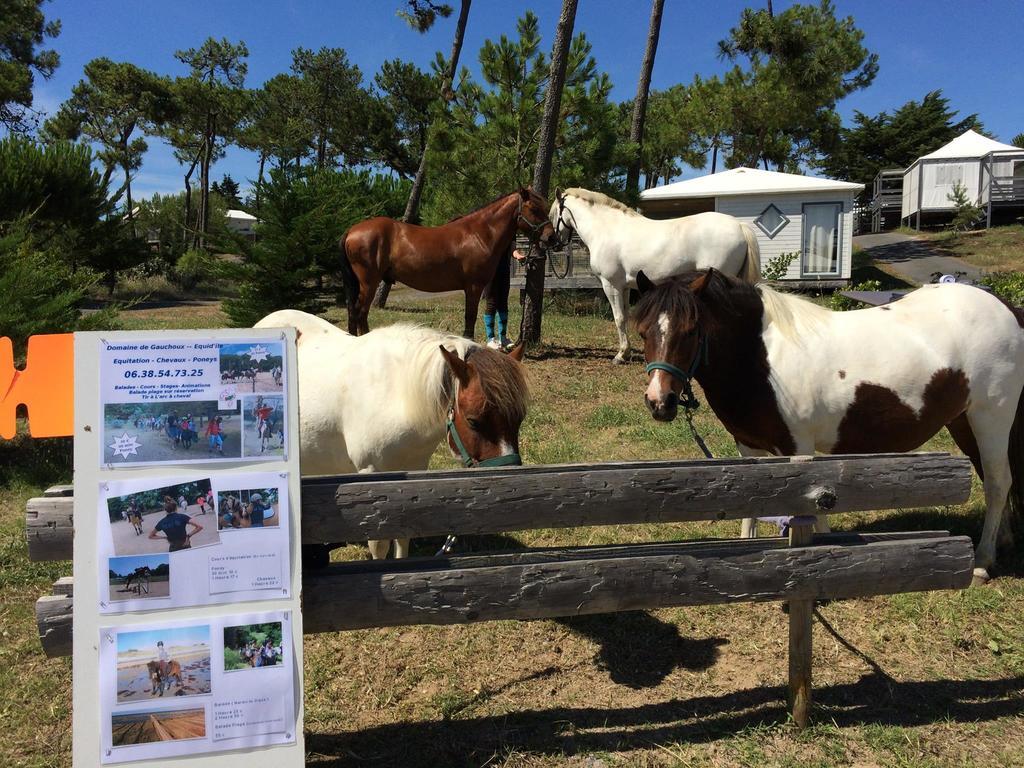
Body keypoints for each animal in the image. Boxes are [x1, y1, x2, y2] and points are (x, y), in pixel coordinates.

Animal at [253, 313, 528, 561]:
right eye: (473, 420)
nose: (509, 484)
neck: (398, 396)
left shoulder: (413, 471)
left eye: (520, 418)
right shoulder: (371, 474)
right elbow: (379, 543)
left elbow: (403, 534)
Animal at [339, 188, 557, 337]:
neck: (479, 234)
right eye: (534, 209)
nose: (552, 238)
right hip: (369, 283)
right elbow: (470, 319)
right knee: (360, 313)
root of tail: (351, 230)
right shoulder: (473, 287)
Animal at [552, 188, 761, 364]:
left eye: (554, 213)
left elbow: (618, 318)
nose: (554, 242)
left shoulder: (611, 284)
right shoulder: (625, 286)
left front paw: (620, 355)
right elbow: (626, 316)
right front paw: (627, 352)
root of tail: (739, 225)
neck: (606, 228)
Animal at [630, 270, 1024, 581]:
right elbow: (751, 502)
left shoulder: (798, 448)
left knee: (998, 481)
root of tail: (1007, 309)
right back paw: (1003, 541)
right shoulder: (749, 446)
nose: (659, 401)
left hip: (992, 416)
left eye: (691, 330)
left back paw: (982, 561)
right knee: (994, 477)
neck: (761, 358)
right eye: (643, 332)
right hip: (963, 420)